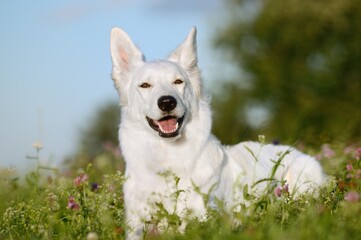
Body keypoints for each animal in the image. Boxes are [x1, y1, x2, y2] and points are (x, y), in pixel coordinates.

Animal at [108, 26, 324, 238]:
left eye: (178, 82)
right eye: (145, 85)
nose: (167, 102)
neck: (168, 157)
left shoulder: (203, 218)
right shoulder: (135, 224)